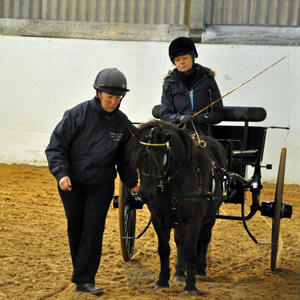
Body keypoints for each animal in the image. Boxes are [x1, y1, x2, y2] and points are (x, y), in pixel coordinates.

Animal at [127, 119, 227, 296]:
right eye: (136, 158)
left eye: (161, 158)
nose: (145, 194)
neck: (175, 183)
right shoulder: (159, 220)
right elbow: (164, 249)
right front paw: (162, 281)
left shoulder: (193, 221)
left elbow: (190, 252)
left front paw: (191, 286)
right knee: (180, 240)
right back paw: (180, 272)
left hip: (210, 216)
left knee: (204, 238)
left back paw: (200, 271)